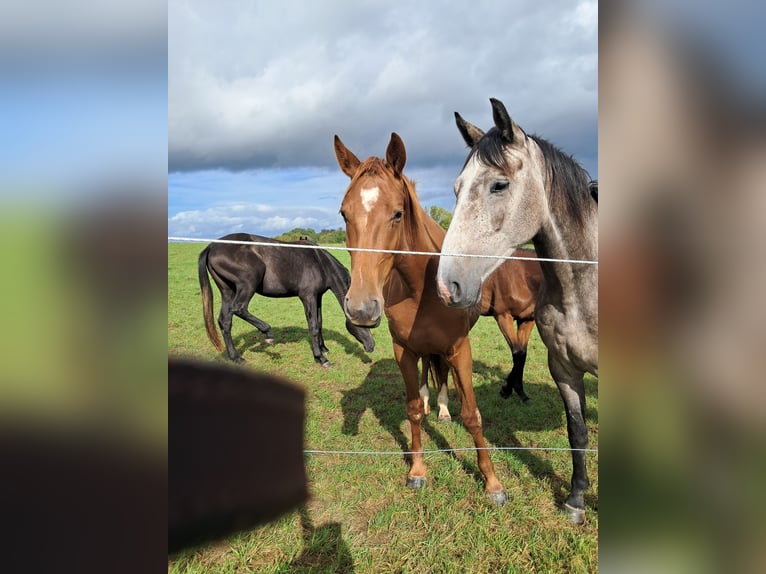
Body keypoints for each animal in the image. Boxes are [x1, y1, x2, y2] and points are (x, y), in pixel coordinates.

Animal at [198, 233, 375, 366]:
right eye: (361, 323)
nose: (371, 346)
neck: (320, 262)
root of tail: (211, 247)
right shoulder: (308, 297)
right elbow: (313, 326)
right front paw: (320, 358)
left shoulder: (317, 297)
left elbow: (319, 322)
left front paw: (323, 348)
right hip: (248, 284)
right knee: (239, 308)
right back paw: (268, 333)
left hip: (227, 291)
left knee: (225, 321)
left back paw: (236, 357)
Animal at [334, 132, 507, 505]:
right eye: (344, 213)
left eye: (397, 214)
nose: (361, 308)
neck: (421, 287)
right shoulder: (404, 350)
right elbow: (412, 408)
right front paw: (417, 470)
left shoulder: (460, 349)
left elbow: (473, 416)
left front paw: (492, 483)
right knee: (430, 372)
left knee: (443, 376)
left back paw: (442, 409)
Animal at [436, 98, 598, 524]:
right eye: (456, 189)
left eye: (499, 184)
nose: (446, 285)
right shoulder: (564, 369)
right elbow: (577, 431)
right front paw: (576, 500)